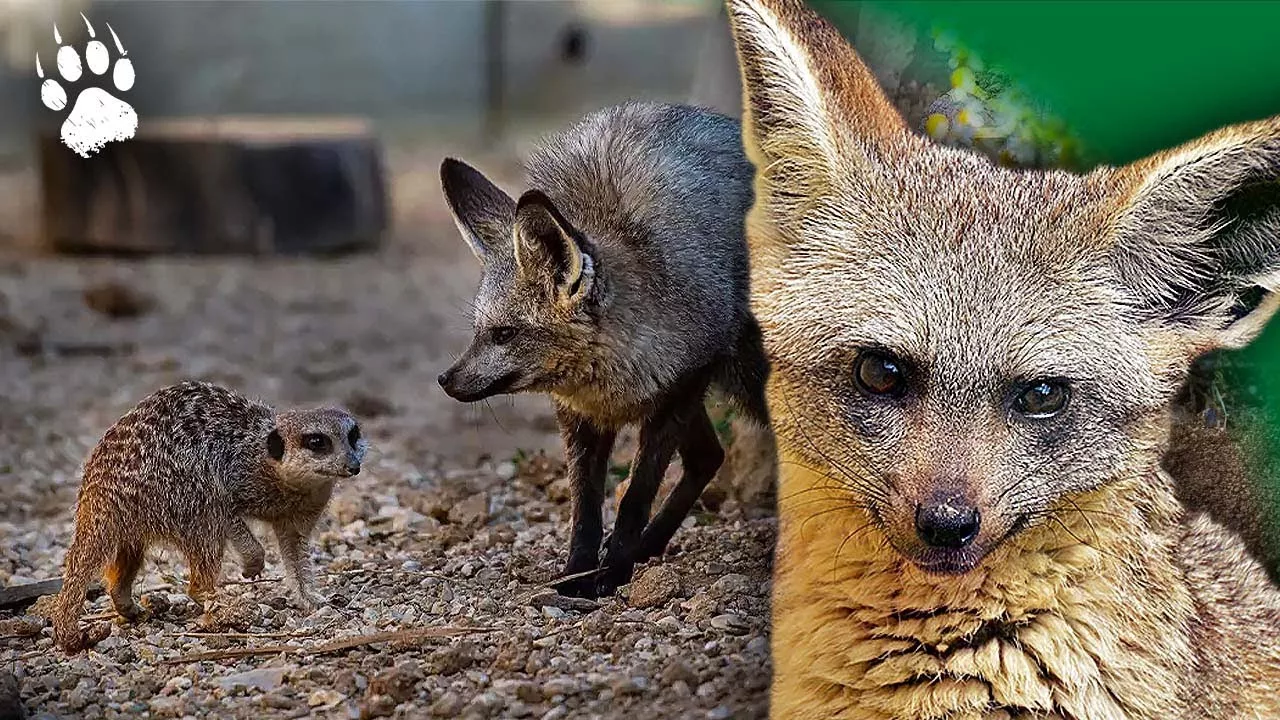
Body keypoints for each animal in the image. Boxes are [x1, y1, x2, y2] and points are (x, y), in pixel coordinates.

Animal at [440, 101, 762, 594]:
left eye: (504, 334)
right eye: (478, 331)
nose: (445, 379)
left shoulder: (680, 388)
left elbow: (634, 497)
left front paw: (613, 572)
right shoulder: (579, 416)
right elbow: (585, 506)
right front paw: (579, 572)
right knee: (709, 456)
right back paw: (650, 547)